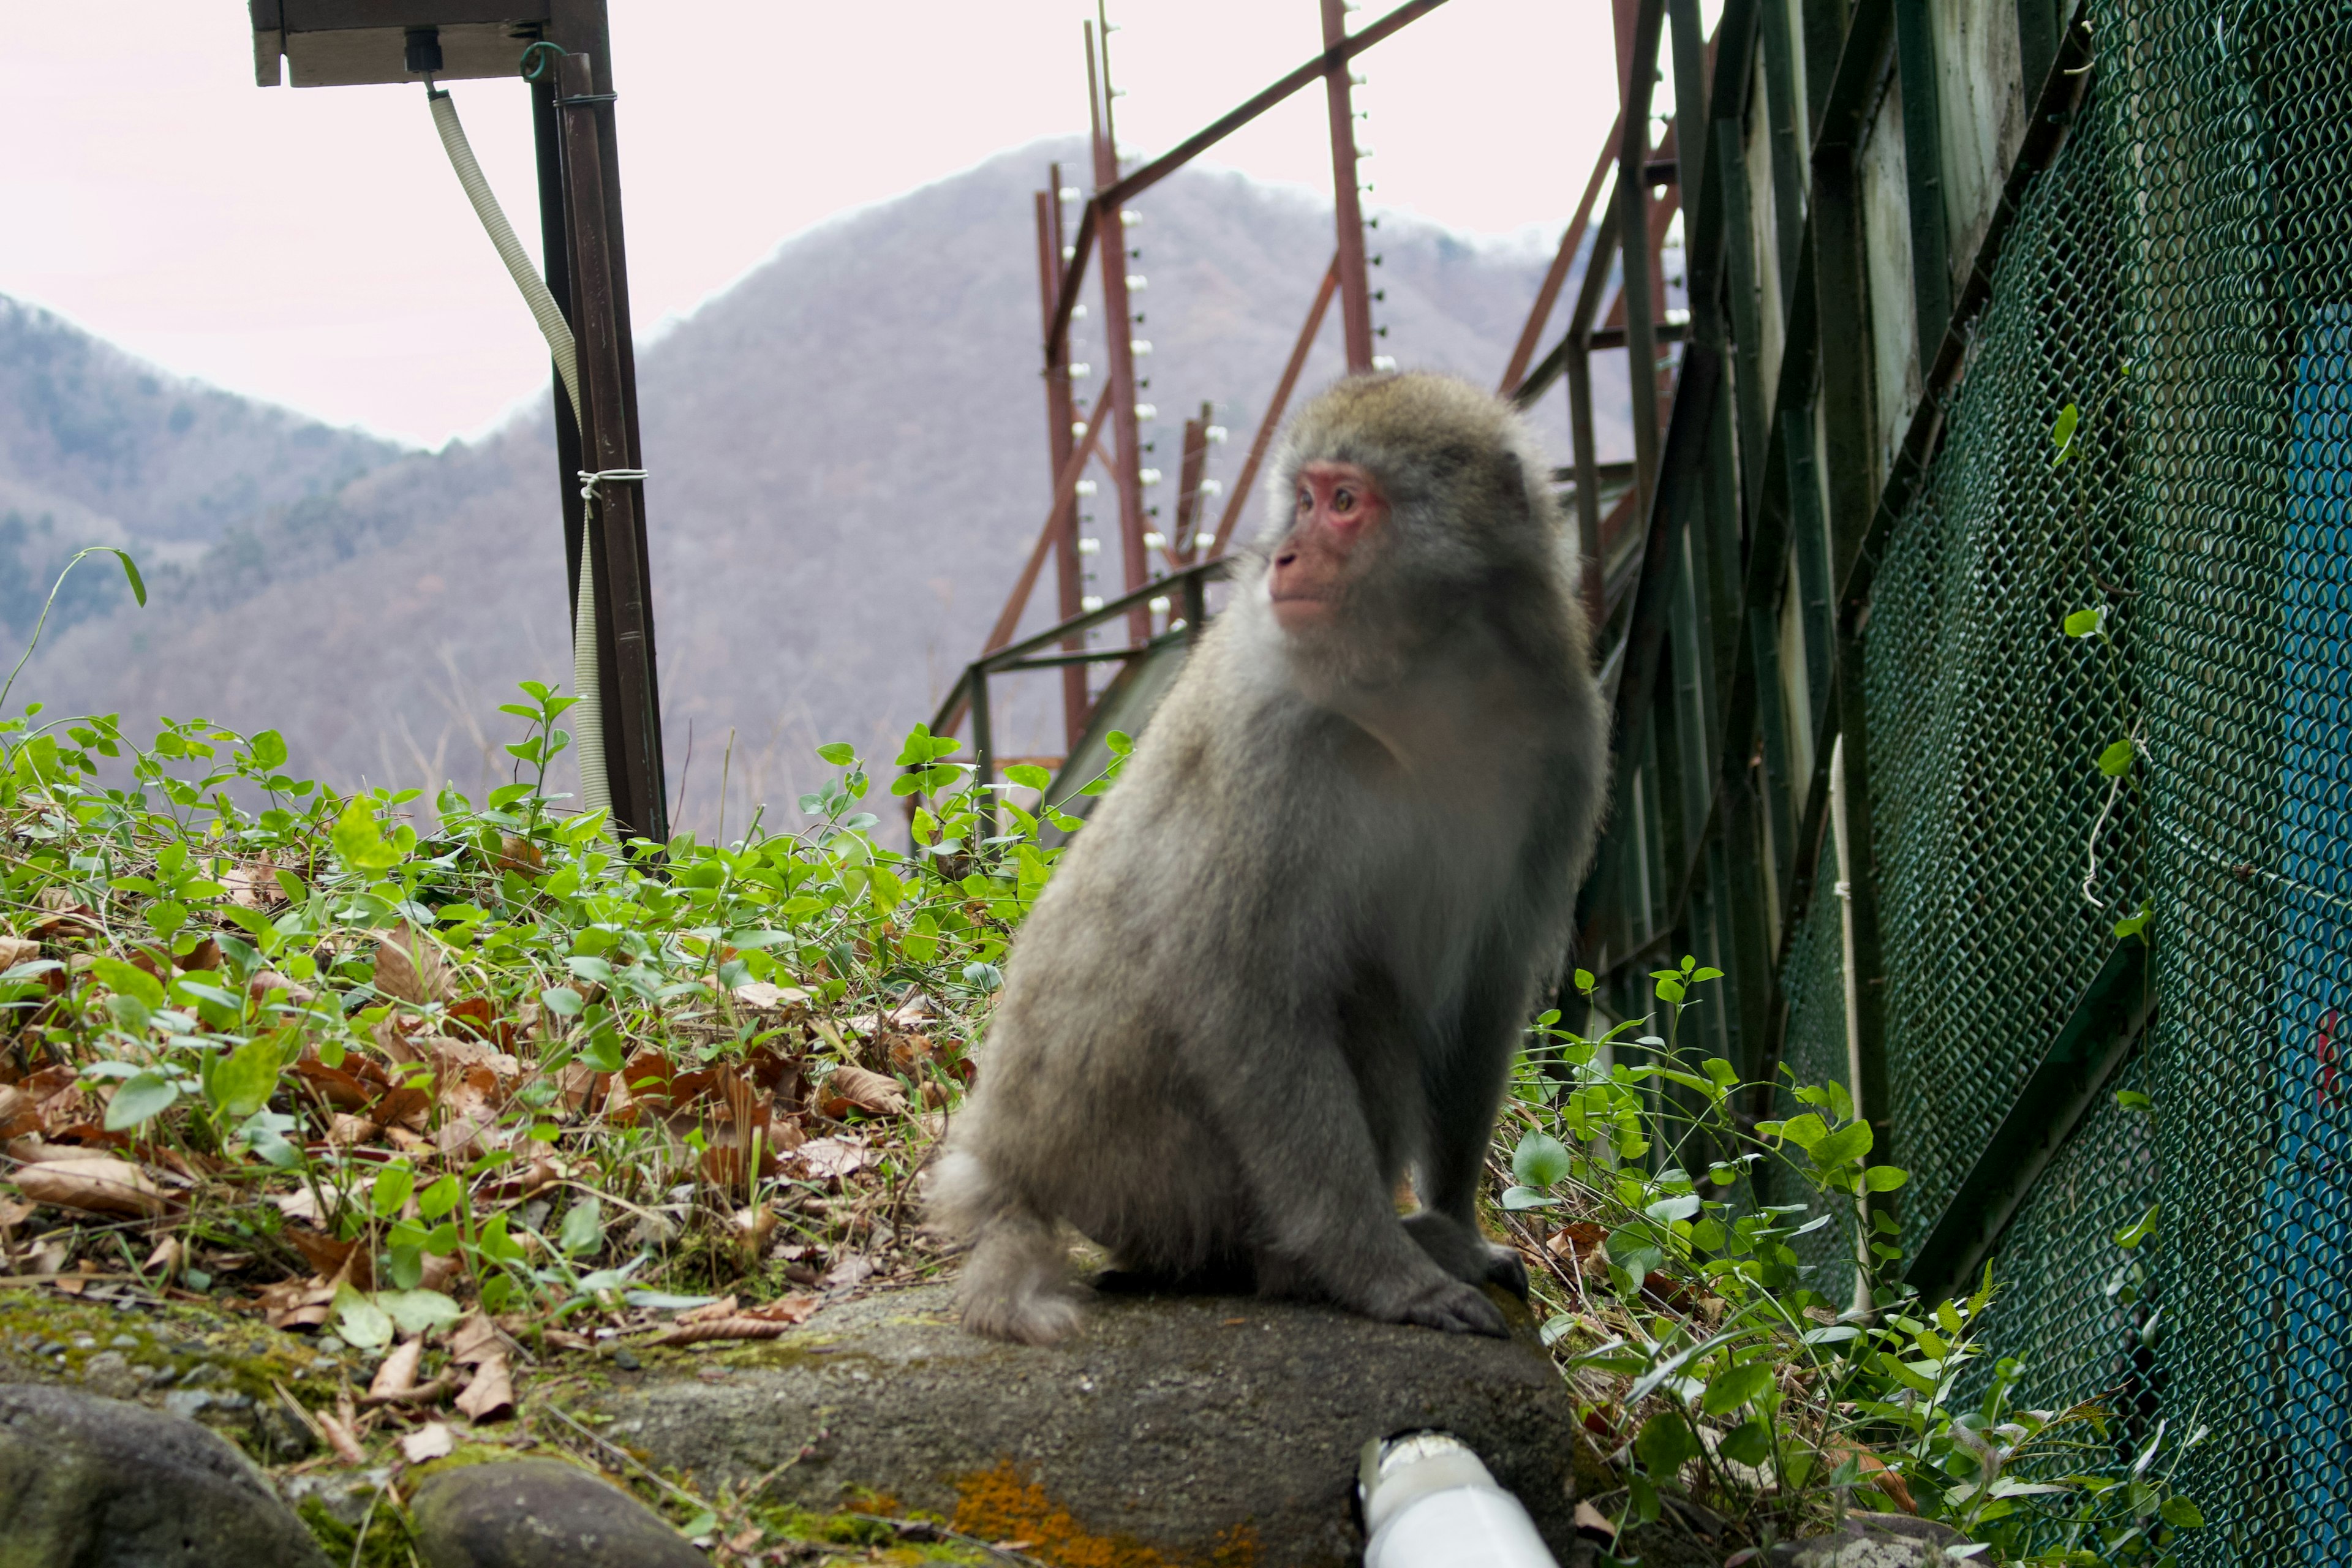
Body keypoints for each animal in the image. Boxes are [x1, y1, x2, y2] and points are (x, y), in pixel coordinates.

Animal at [926, 364, 1608, 1335]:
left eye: (1345, 503)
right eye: (1306, 498)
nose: (1283, 556)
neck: (1424, 684)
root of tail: (1017, 1163)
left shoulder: (1561, 732)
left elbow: (1490, 980)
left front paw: (1462, 1230)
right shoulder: (1275, 742)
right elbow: (1243, 990)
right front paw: (1387, 1277)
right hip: (1154, 1170)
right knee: (1355, 1002)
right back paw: (1300, 1266)